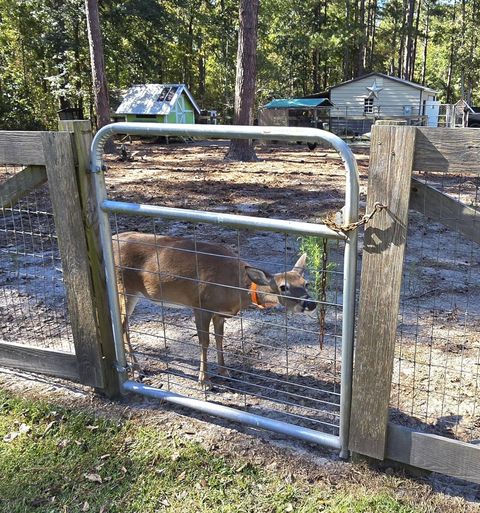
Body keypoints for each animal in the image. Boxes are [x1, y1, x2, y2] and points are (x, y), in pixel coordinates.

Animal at [112, 230, 316, 386]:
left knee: (125, 325)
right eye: (283, 287)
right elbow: (204, 342)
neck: (234, 288)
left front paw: (224, 372)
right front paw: (204, 381)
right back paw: (137, 369)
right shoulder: (201, 305)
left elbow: (220, 339)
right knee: (122, 326)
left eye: (306, 283)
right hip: (125, 288)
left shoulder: (220, 313)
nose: (310, 303)